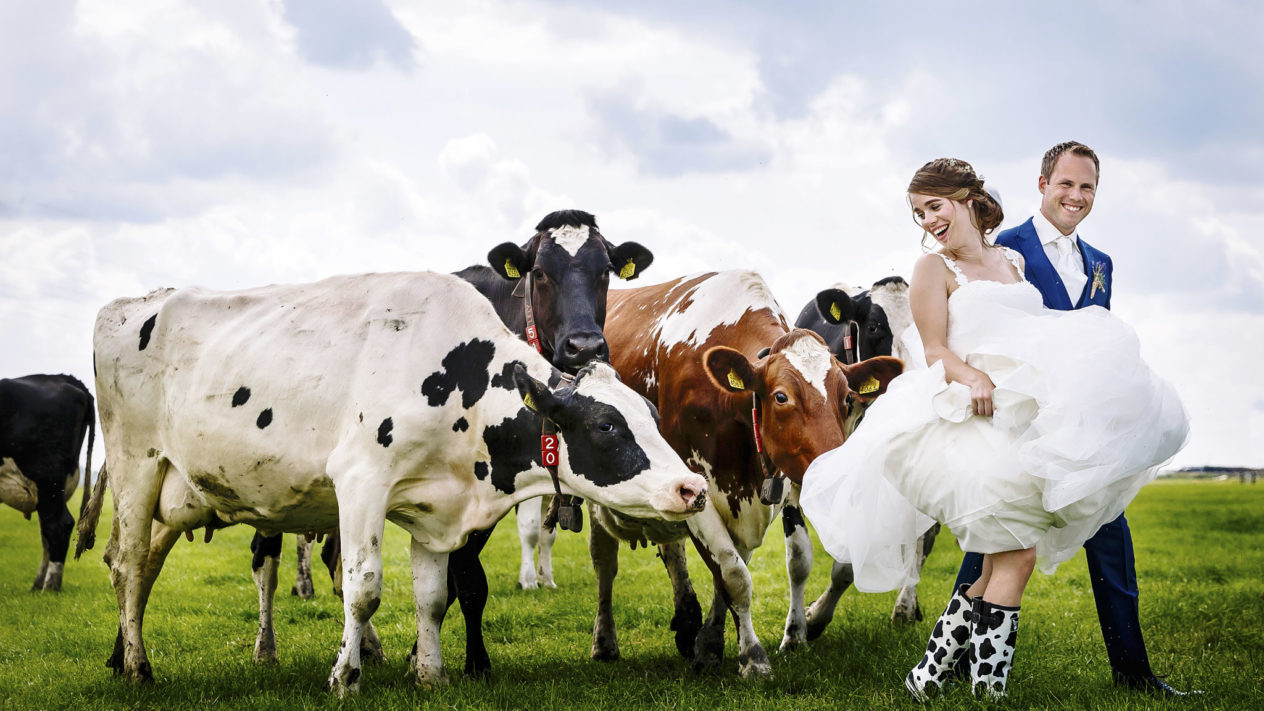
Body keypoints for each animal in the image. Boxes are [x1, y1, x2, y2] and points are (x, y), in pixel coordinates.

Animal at [78, 271, 706, 695]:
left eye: (653, 414)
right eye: (606, 425)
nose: (691, 488)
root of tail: (128, 304)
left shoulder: (435, 507)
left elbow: (433, 597)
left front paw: (431, 673)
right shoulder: (361, 482)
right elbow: (364, 589)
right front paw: (346, 676)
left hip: (177, 492)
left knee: (142, 569)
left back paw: (121, 656)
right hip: (136, 468)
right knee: (127, 563)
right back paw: (138, 667)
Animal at [591, 271, 903, 677]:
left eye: (847, 397)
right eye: (781, 397)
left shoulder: (766, 493)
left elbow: (740, 570)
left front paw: (709, 642)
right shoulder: (698, 490)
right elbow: (734, 575)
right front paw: (752, 656)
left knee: (672, 551)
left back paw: (686, 621)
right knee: (604, 562)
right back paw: (604, 641)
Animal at [782, 276, 942, 648]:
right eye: (874, 327)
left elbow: (847, 563)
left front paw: (815, 618)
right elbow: (799, 555)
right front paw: (797, 630)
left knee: (922, 540)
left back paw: (905, 606)